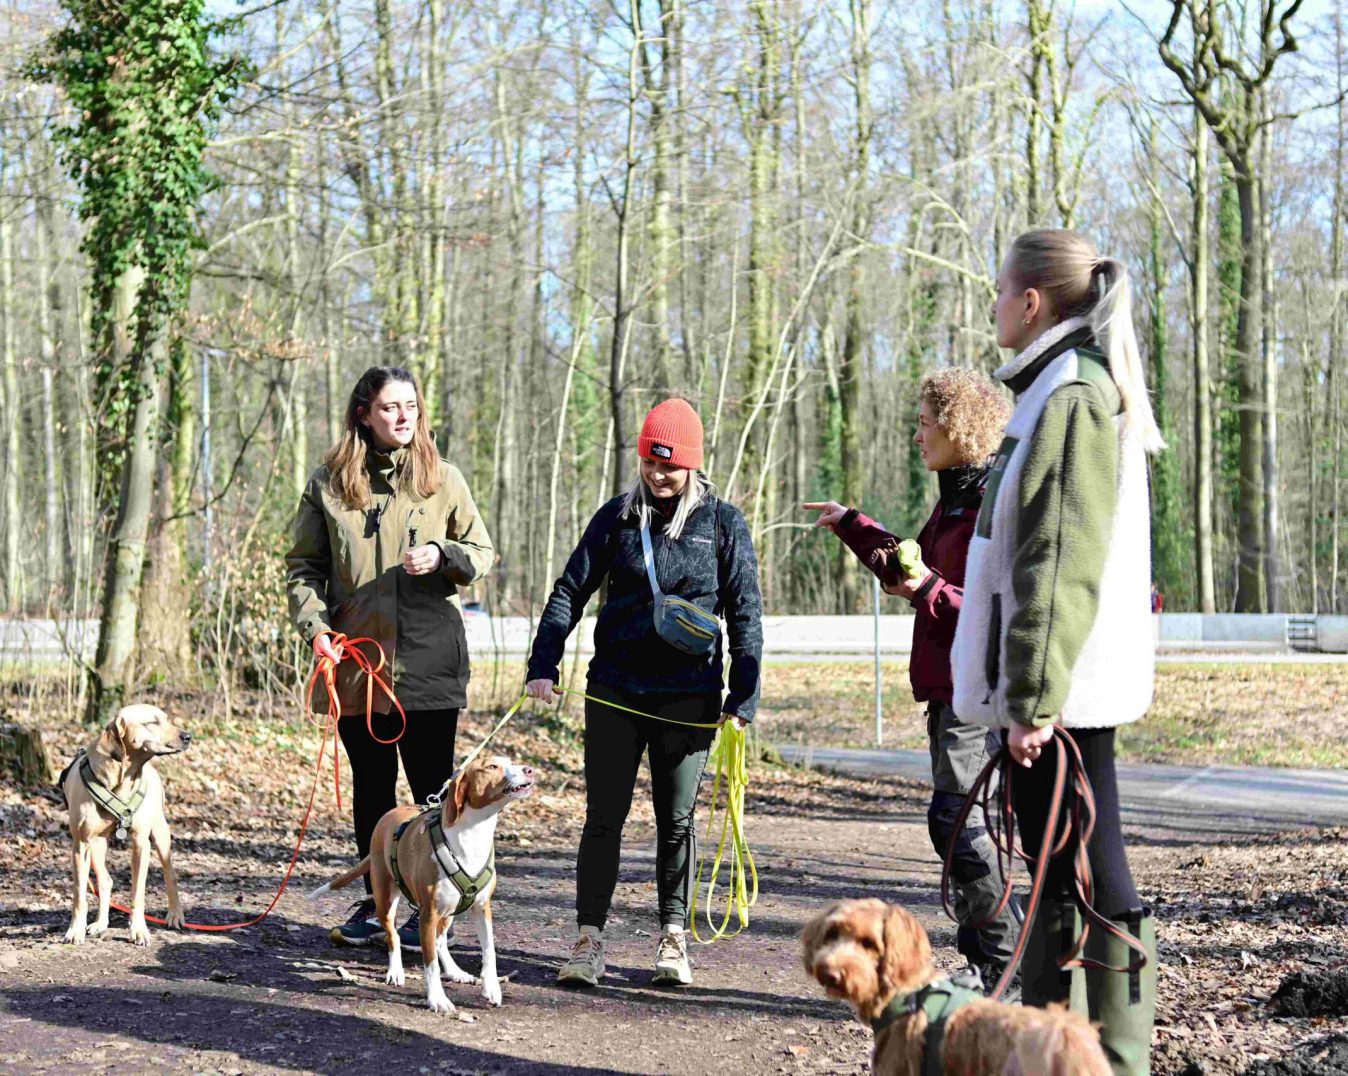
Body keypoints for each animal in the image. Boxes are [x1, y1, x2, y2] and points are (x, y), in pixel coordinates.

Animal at [62, 706, 192, 943]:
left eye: (166, 719)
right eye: (152, 722)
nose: (188, 736)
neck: (121, 779)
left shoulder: (141, 843)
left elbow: (137, 892)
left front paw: (138, 929)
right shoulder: (81, 845)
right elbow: (79, 895)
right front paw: (75, 930)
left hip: (160, 834)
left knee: (170, 874)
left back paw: (175, 914)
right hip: (97, 846)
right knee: (106, 881)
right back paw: (100, 923)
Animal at [308, 755, 533, 1013]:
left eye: (511, 762)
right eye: (492, 767)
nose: (529, 770)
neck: (474, 834)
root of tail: (389, 814)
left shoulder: (481, 907)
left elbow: (489, 950)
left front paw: (492, 988)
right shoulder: (428, 913)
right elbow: (430, 964)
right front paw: (437, 999)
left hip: (449, 910)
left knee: (441, 941)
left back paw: (455, 971)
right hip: (386, 899)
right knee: (394, 936)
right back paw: (395, 971)